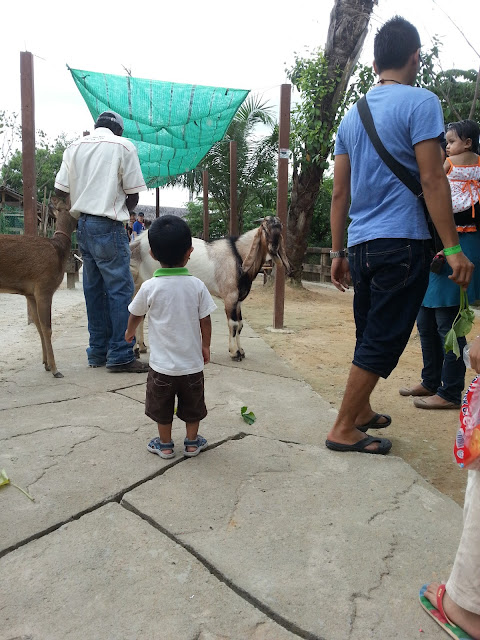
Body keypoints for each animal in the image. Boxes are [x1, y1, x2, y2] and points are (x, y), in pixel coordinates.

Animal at [0, 198, 78, 378]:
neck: (59, 251)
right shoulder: (44, 286)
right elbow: (47, 327)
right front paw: (55, 369)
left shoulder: (30, 293)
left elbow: (38, 326)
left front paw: (46, 364)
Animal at [129, 218, 290, 360]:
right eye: (265, 229)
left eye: (280, 229)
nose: (274, 248)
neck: (239, 255)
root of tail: (138, 243)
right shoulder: (230, 296)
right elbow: (233, 324)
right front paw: (235, 353)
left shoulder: (238, 299)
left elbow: (240, 324)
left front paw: (242, 351)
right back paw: (135, 350)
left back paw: (142, 347)